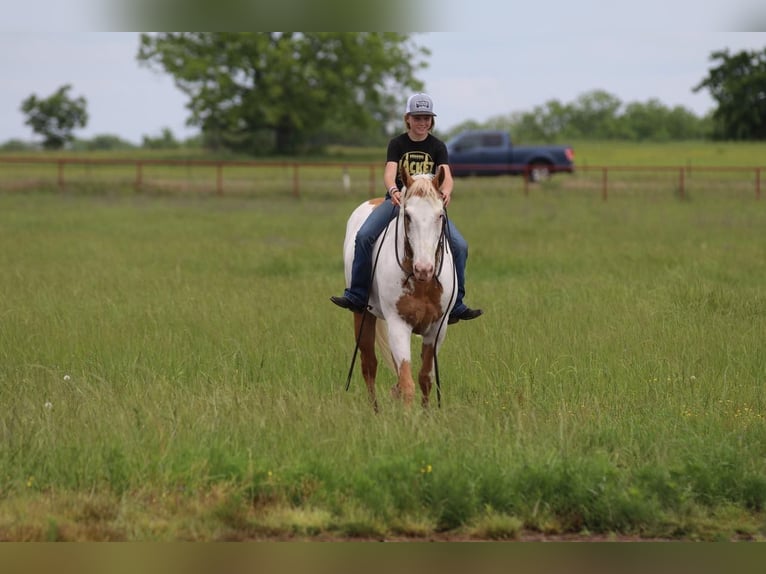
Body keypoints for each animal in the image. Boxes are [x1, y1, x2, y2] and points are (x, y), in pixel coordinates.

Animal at [342, 164, 456, 412]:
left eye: (440, 215)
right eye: (408, 215)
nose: (424, 269)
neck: (422, 283)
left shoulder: (437, 329)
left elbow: (425, 378)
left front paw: (425, 415)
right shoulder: (398, 325)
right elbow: (407, 382)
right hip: (362, 314)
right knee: (369, 364)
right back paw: (375, 411)